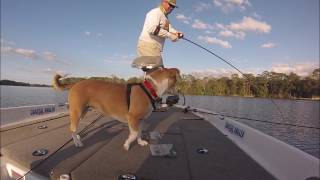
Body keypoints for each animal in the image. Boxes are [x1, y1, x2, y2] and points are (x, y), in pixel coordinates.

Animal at [51, 67, 179, 150]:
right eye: (176, 81)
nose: (178, 94)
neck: (149, 88)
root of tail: (75, 84)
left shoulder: (141, 120)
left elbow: (139, 133)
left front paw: (140, 142)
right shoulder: (132, 118)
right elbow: (134, 134)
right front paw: (127, 144)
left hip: (83, 111)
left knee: (74, 127)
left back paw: (77, 137)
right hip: (77, 111)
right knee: (72, 128)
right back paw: (77, 142)